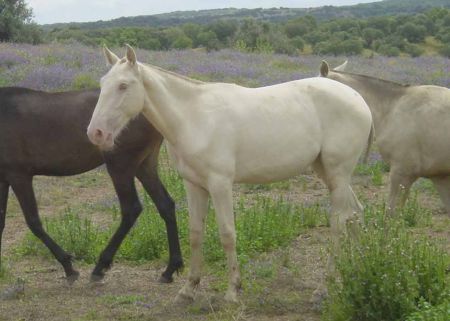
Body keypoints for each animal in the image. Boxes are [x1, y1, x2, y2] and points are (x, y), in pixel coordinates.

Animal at [0, 86, 183, 282]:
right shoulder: (3, 179)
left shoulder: (19, 176)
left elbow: (33, 222)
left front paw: (68, 267)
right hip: (144, 165)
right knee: (165, 205)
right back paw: (170, 268)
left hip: (120, 165)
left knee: (131, 209)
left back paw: (100, 266)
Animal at [87, 45, 372, 302]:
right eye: (103, 84)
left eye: (123, 86)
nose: (95, 133)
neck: (193, 118)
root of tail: (357, 98)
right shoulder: (194, 185)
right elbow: (195, 234)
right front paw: (189, 289)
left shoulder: (220, 184)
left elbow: (227, 234)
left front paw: (233, 290)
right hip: (328, 172)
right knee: (355, 213)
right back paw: (356, 272)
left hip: (337, 173)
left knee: (339, 222)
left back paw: (325, 286)